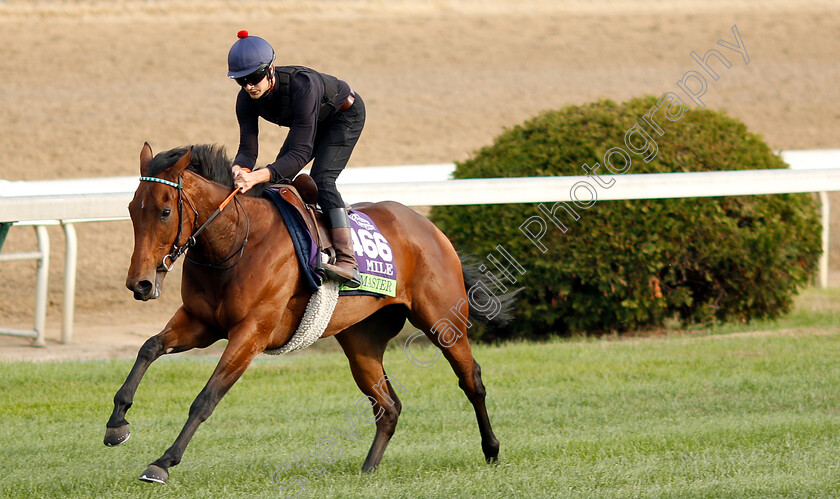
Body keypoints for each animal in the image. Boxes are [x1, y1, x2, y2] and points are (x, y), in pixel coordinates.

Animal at [105, 144, 512, 484]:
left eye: (165, 211)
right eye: (131, 210)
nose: (140, 284)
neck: (237, 240)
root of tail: (428, 227)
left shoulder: (251, 333)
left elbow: (206, 397)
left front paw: (163, 461)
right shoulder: (201, 323)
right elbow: (149, 347)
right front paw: (117, 422)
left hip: (443, 321)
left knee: (471, 380)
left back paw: (492, 450)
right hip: (361, 342)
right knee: (388, 406)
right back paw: (367, 470)